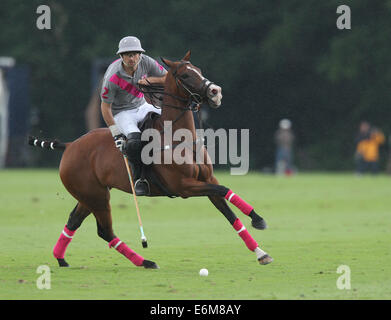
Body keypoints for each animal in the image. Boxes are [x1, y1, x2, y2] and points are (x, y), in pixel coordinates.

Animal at [28, 51, 272, 268]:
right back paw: (145, 261)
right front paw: (258, 221)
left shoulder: (207, 180)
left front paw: (260, 247)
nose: (215, 91)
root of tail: (70, 145)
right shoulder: (184, 187)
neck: (179, 138)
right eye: (185, 75)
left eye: (199, 70)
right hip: (96, 196)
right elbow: (224, 189)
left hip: (90, 194)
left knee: (74, 220)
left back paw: (61, 258)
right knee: (105, 231)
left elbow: (229, 210)